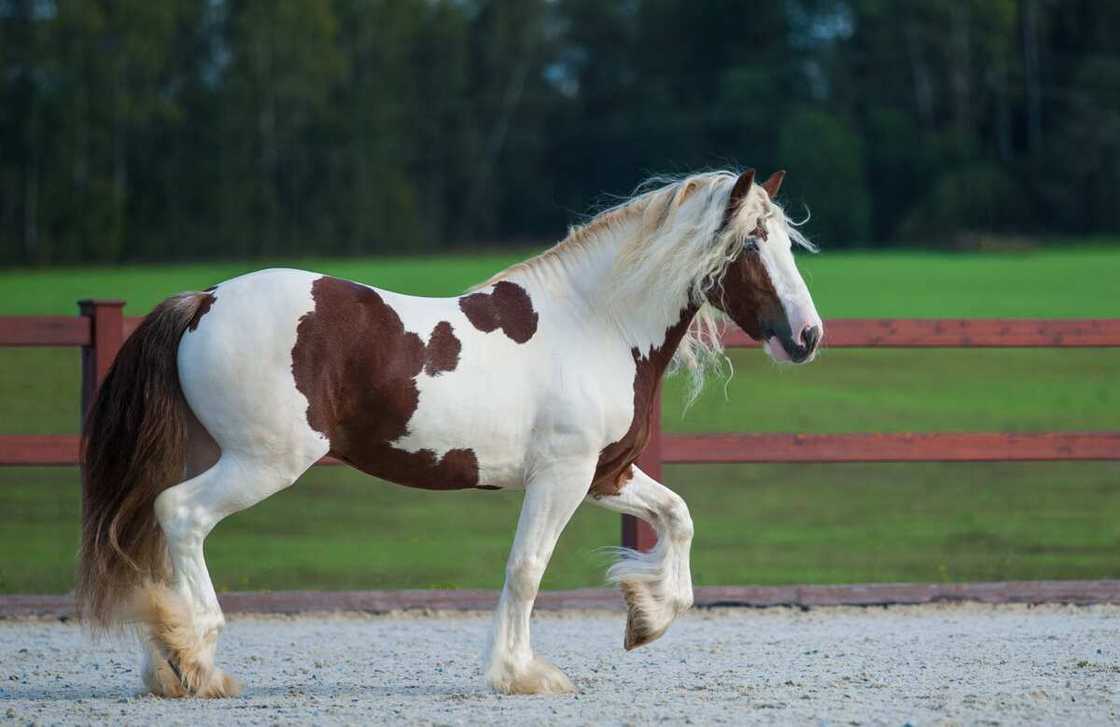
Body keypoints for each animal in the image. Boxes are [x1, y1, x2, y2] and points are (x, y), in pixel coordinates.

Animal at [72, 166, 824, 694]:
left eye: (788, 241)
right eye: (751, 243)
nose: (808, 336)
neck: (597, 323)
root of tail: (202, 301)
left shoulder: (603, 472)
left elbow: (678, 516)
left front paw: (648, 616)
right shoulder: (562, 475)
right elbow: (526, 568)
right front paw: (522, 673)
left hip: (214, 452)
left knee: (160, 535)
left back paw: (170, 665)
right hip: (264, 461)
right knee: (181, 515)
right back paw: (197, 662)